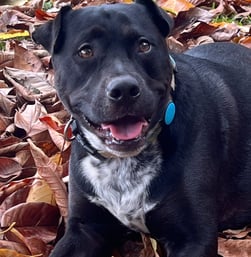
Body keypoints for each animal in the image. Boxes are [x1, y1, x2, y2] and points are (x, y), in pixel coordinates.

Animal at [32, 1, 251, 255]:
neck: (122, 162)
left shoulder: (194, 237)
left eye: (144, 45)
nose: (124, 89)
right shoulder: (84, 228)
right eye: (85, 51)